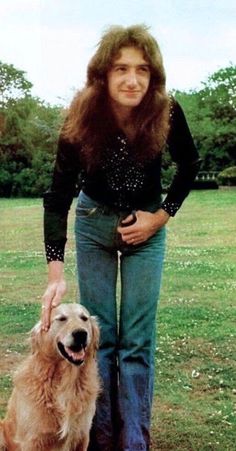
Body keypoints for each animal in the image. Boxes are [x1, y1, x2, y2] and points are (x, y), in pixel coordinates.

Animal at [0, 304, 99, 451]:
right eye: (62, 319)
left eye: (84, 318)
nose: (81, 334)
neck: (66, 381)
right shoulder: (32, 441)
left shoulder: (82, 436)